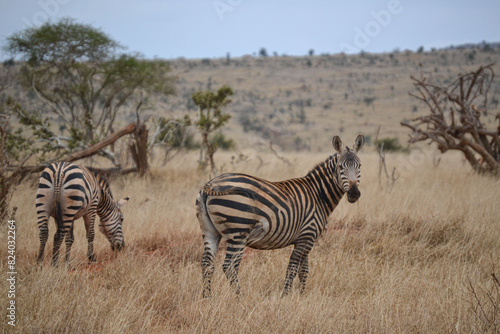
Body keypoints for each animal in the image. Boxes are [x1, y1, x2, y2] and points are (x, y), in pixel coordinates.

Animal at [197, 134, 366, 296]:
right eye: (340, 167)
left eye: (360, 166)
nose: (354, 194)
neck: (318, 195)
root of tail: (210, 184)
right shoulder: (307, 236)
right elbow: (293, 268)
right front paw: (285, 296)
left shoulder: (305, 239)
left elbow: (304, 270)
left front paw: (302, 296)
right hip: (238, 232)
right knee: (229, 266)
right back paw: (240, 297)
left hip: (210, 231)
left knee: (207, 263)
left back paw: (207, 297)